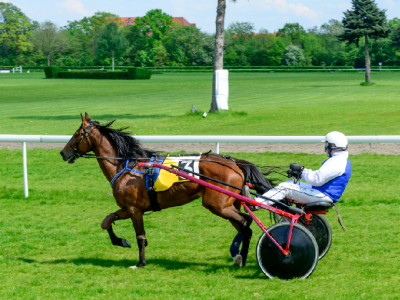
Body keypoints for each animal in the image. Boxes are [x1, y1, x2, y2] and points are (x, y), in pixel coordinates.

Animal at [59, 113, 274, 268]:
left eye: (77, 134)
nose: (63, 152)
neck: (127, 166)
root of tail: (234, 163)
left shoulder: (135, 210)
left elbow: (140, 237)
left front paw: (140, 263)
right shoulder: (128, 208)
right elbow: (106, 221)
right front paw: (121, 241)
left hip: (217, 205)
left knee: (245, 222)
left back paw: (237, 254)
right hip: (229, 204)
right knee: (245, 227)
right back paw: (241, 258)